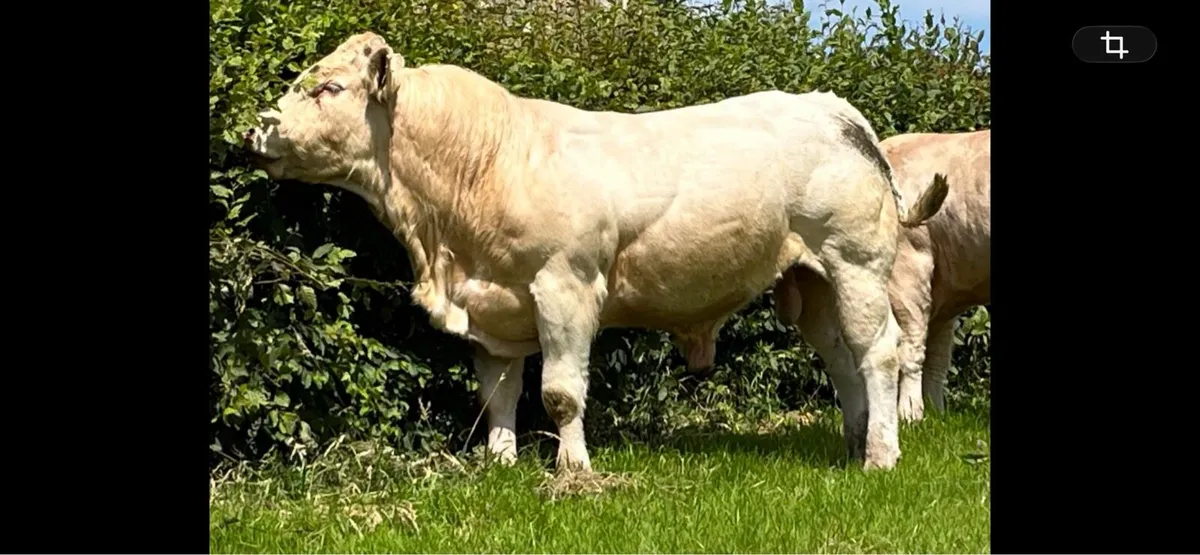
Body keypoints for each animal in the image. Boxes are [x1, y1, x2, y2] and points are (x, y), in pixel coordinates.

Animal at [240, 31, 949, 472]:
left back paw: (881, 456)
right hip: (810, 282)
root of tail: (836, 109)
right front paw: (500, 464)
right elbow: (498, 393)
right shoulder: (493, 305)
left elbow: (559, 393)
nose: (255, 131)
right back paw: (855, 443)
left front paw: (572, 471)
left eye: (328, 89)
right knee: (840, 358)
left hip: (856, 263)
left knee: (878, 351)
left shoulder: (566, 287)